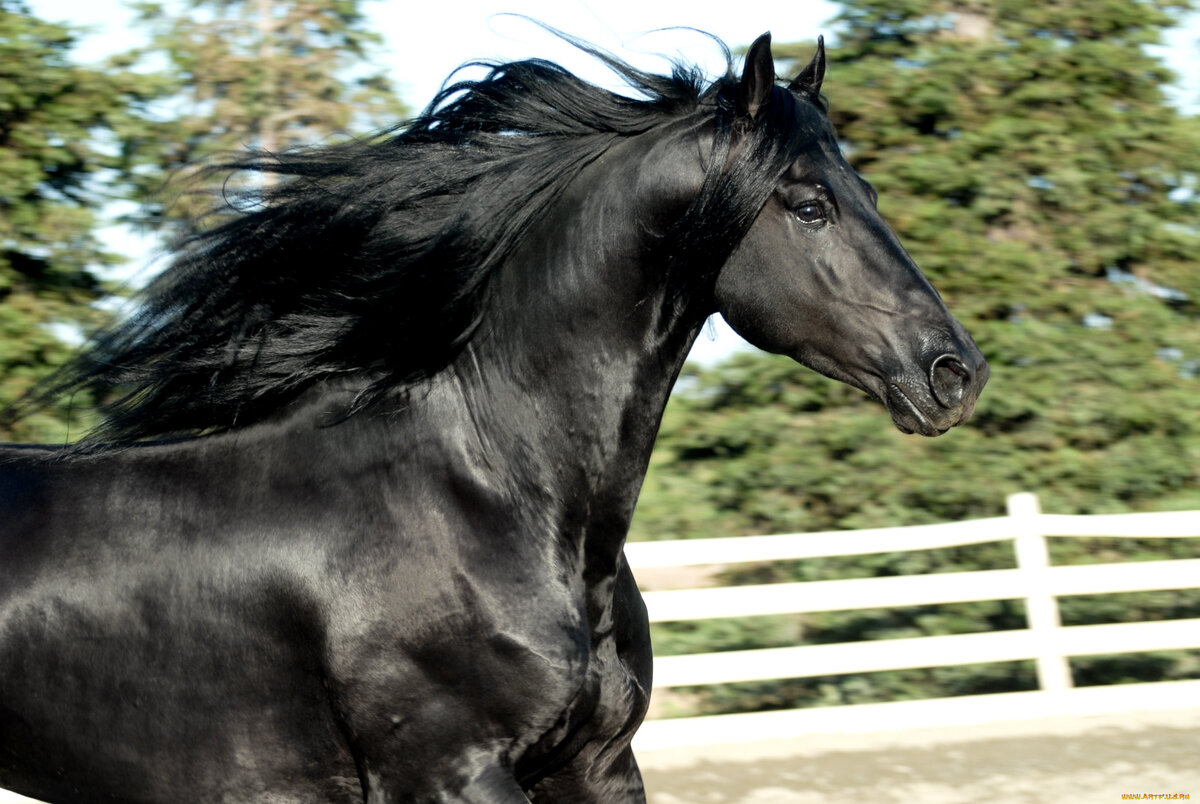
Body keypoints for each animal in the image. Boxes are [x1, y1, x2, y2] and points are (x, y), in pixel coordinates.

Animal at [0, 33, 984, 804]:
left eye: (868, 195)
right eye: (810, 206)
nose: (955, 373)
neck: (487, 496)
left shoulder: (596, 763)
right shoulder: (450, 773)